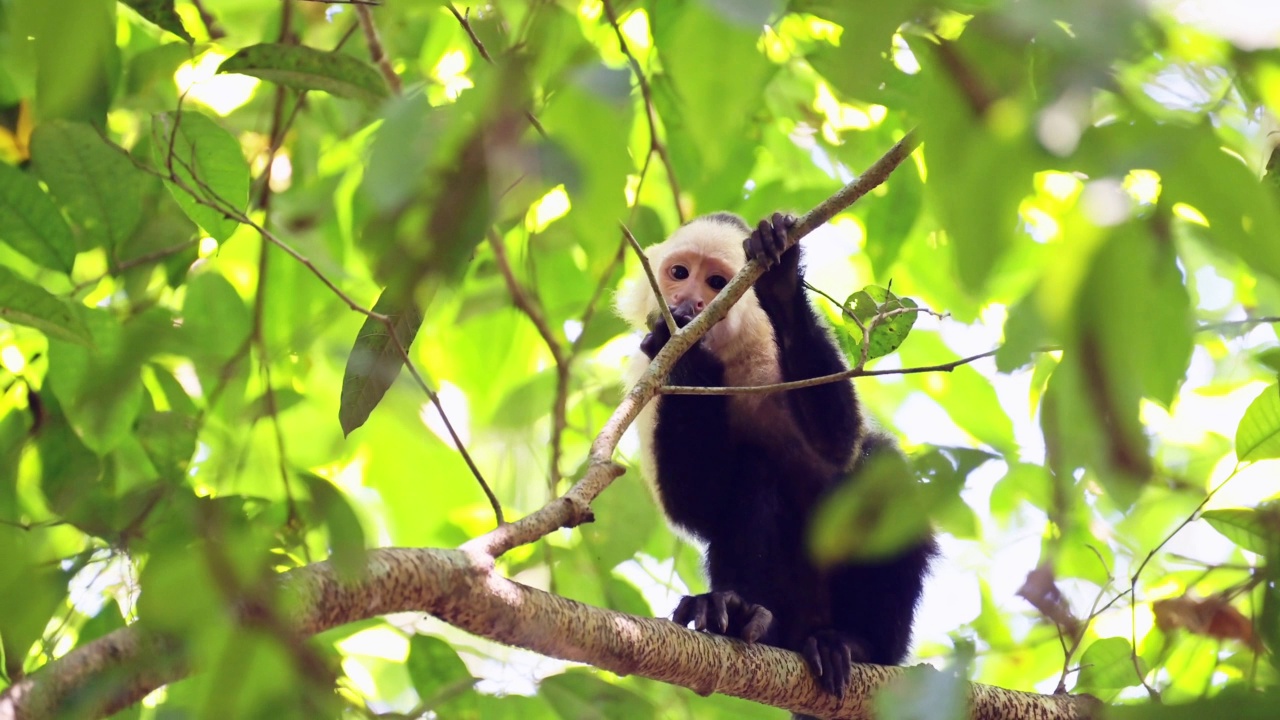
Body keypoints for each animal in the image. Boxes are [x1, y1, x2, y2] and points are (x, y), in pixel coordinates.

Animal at [614, 208, 936, 712]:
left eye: (715, 281)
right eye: (678, 273)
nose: (686, 305)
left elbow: (841, 443)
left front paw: (781, 275)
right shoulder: (647, 372)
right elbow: (697, 506)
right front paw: (685, 345)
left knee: (878, 469)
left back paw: (856, 644)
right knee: (754, 476)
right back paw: (739, 613)